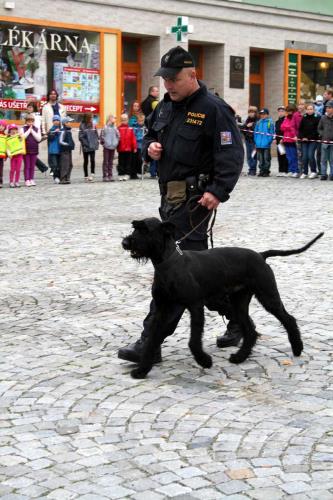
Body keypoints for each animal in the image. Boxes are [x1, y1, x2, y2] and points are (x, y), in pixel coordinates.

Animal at [121, 219, 322, 378]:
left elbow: (194, 341)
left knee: (288, 319)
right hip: (239, 302)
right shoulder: (163, 309)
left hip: (268, 296)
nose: (125, 242)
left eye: (145, 229)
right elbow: (152, 339)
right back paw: (239, 357)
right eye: (134, 227)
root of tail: (260, 255)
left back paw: (297, 348)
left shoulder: (195, 306)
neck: (168, 264)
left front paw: (204, 361)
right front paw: (141, 370)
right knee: (250, 330)